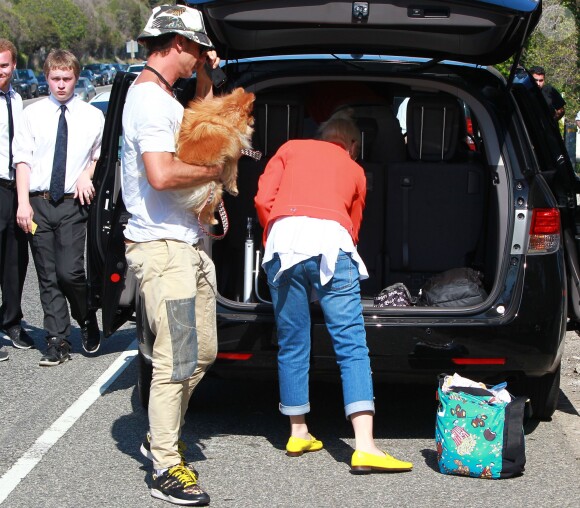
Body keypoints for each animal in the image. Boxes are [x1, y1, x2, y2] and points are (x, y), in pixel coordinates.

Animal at [176, 86, 255, 225]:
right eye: (249, 115)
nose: (253, 119)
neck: (222, 117)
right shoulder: (231, 157)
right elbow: (233, 173)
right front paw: (234, 189)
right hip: (215, 188)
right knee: (204, 210)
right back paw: (213, 220)